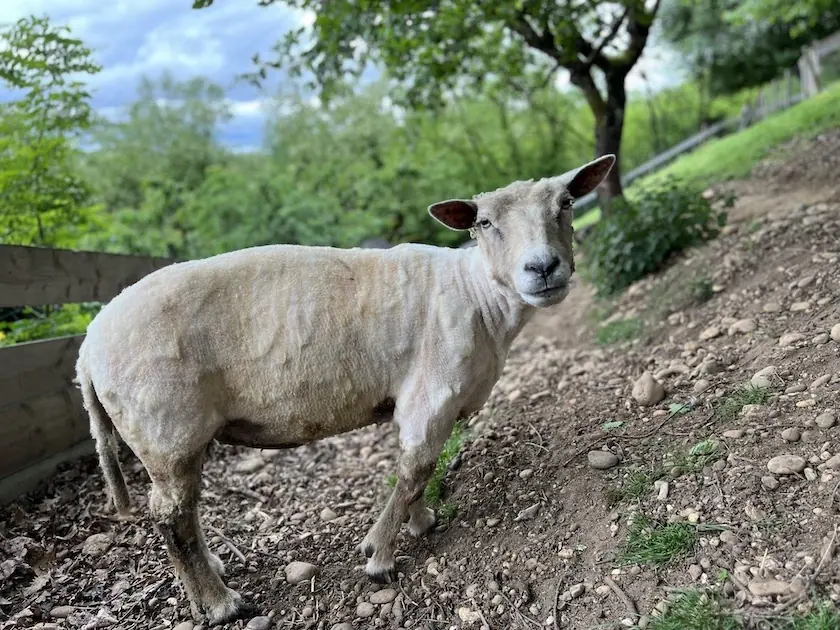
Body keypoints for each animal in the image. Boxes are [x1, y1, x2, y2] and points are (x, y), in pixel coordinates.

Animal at [75, 154, 615, 625]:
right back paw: (219, 603)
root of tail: (87, 348)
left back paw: (213, 573)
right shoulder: (432, 392)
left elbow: (419, 471)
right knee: (171, 518)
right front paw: (381, 555)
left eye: (566, 203)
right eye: (483, 222)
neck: (480, 296)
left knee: (181, 515)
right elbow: (415, 470)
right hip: (166, 432)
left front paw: (420, 521)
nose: (542, 267)